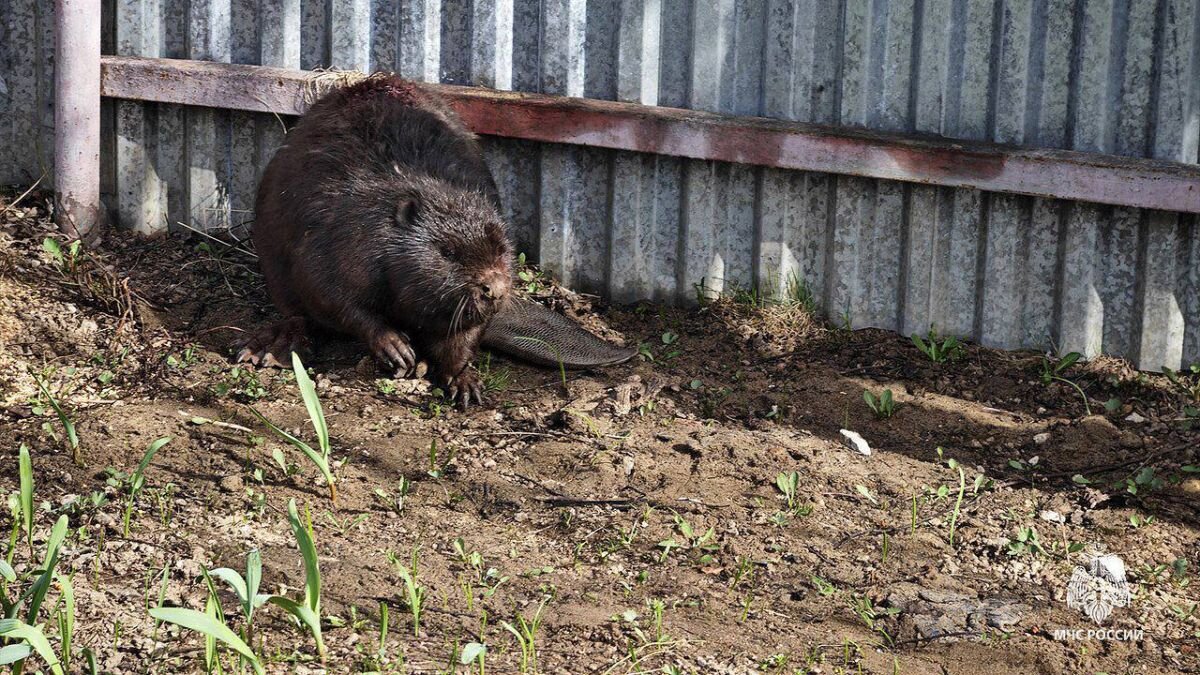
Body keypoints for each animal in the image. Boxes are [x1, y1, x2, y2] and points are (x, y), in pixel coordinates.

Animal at [238, 78, 511, 403]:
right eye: (448, 252)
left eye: (501, 249)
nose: (494, 289)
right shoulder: (339, 238)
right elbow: (327, 291)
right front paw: (396, 348)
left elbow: (463, 333)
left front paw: (465, 383)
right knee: (297, 314)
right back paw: (269, 350)